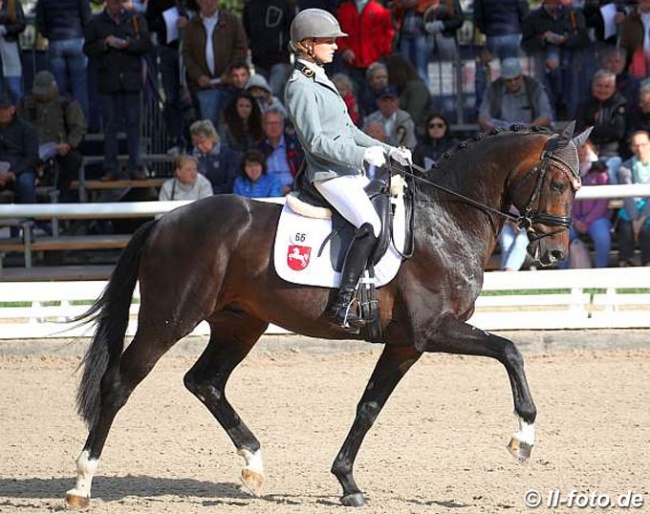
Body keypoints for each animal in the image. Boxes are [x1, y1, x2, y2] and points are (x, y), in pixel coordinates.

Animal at [63, 122, 584, 506]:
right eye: (558, 182)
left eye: (577, 187)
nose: (555, 253)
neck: (446, 219)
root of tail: (161, 221)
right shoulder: (432, 331)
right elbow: (510, 350)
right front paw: (524, 437)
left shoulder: (403, 344)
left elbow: (369, 407)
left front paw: (347, 482)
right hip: (168, 319)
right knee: (120, 383)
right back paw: (81, 484)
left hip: (239, 324)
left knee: (205, 381)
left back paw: (253, 465)